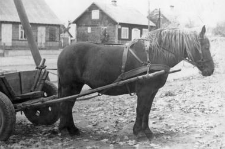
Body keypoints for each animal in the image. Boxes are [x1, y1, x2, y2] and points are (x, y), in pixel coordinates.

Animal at [56, 25, 214, 140]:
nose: (211, 70)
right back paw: (65, 130)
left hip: (75, 86)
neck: (154, 55)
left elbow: (147, 110)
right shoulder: (144, 91)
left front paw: (147, 131)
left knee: (68, 105)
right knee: (65, 105)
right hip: (69, 86)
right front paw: (138, 132)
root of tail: (64, 51)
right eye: (206, 47)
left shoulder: (152, 91)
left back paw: (72, 129)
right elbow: (141, 109)